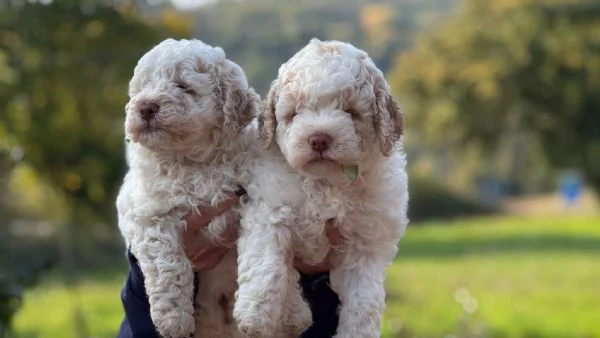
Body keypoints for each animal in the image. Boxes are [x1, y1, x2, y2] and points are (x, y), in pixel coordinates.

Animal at [116, 38, 258, 336]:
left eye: (183, 86)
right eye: (142, 88)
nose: (145, 106)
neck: (192, 162)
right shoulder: (150, 215)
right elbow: (166, 265)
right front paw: (172, 320)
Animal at [233, 39, 408, 338]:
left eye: (351, 112)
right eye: (294, 114)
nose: (318, 139)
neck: (326, 184)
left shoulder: (367, 241)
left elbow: (365, 300)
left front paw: (357, 333)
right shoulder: (269, 210)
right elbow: (267, 265)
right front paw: (254, 316)